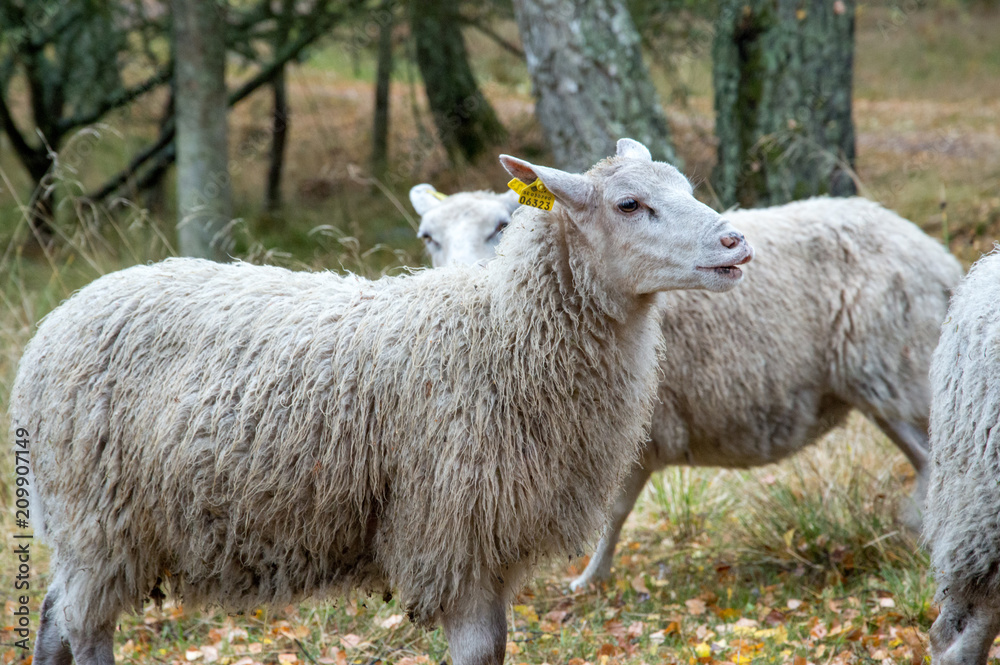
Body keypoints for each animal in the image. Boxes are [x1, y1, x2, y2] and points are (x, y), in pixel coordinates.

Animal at [10, 138, 754, 665]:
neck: (500, 332)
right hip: (98, 515)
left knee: (51, 618)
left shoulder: (493, 538)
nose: (736, 241)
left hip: (85, 528)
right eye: (629, 204)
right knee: (84, 628)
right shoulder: (451, 529)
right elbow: (477, 650)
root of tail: (55, 323)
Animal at [411, 189, 963, 590]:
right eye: (428, 237)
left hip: (895, 372)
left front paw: (589, 579)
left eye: (499, 228)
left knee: (934, 462)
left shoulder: (630, 429)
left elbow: (614, 512)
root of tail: (938, 256)